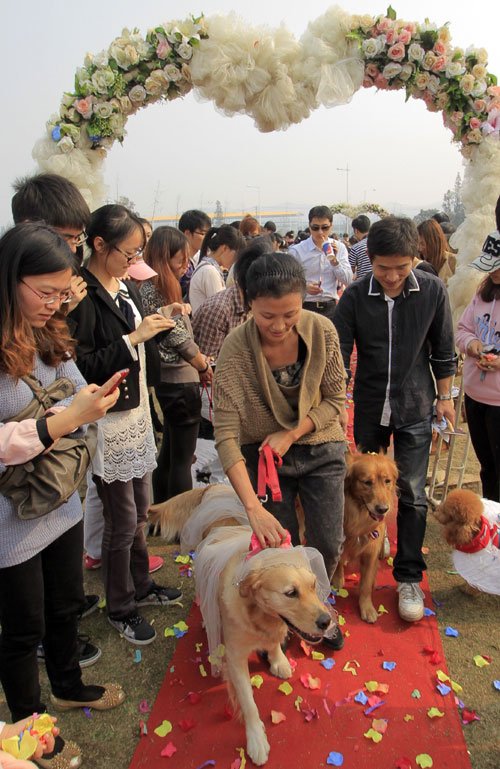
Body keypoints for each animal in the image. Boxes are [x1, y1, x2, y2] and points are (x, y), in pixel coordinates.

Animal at [332, 450, 398, 624]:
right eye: (367, 482)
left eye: (387, 481)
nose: (382, 509)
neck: (360, 516)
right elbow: (339, 560)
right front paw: (337, 577)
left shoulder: (371, 553)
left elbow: (366, 585)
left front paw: (367, 608)